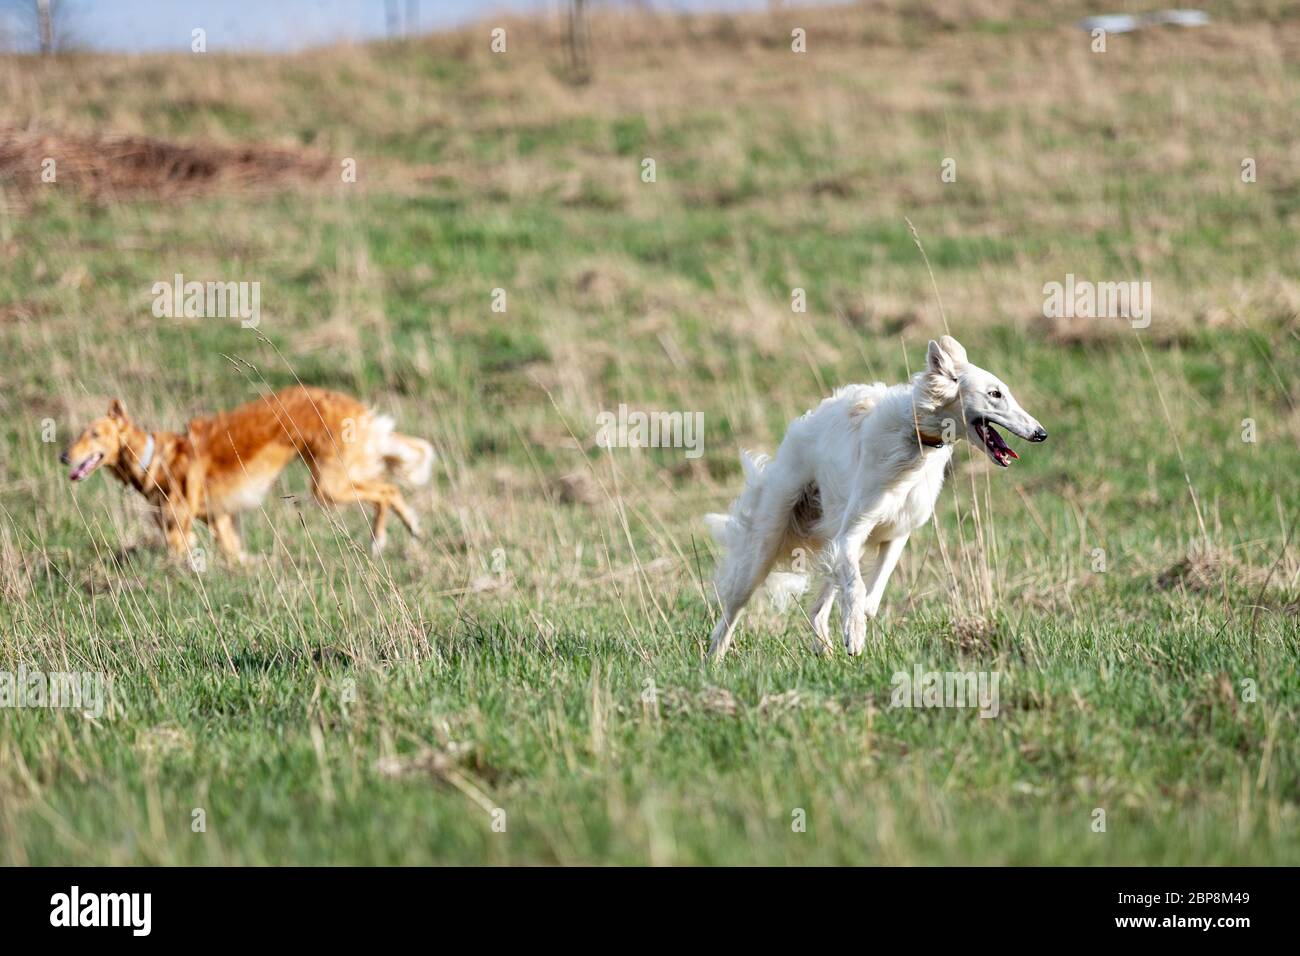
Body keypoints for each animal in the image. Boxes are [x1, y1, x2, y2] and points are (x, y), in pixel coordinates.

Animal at [61, 385, 434, 561]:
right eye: (80, 434)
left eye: (94, 434)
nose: (64, 456)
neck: (154, 457)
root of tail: (355, 406)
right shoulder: (221, 520)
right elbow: (234, 556)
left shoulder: (178, 525)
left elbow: (182, 556)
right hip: (334, 481)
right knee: (389, 491)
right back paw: (408, 529)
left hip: (329, 485)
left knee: (387, 491)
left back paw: (381, 538)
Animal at [707, 335, 1050, 658]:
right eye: (995, 394)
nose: (1041, 433)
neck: (913, 440)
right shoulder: (851, 533)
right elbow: (857, 590)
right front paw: (855, 634)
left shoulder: (895, 534)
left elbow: (871, 597)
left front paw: (856, 626)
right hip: (769, 541)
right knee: (732, 609)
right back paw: (714, 658)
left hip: (832, 542)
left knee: (817, 608)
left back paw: (825, 648)